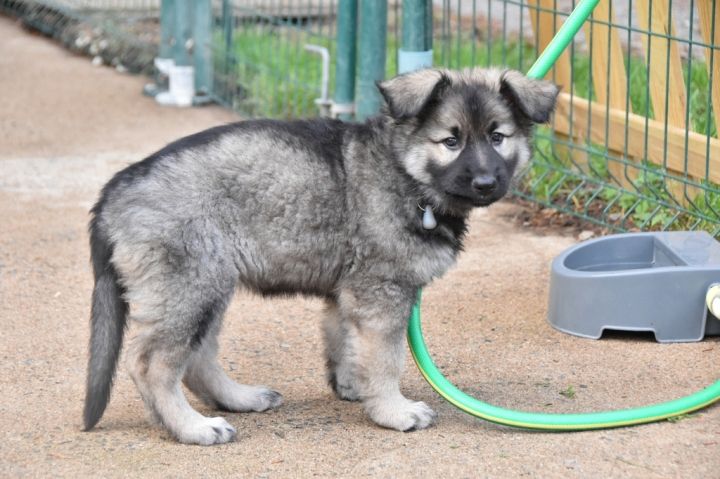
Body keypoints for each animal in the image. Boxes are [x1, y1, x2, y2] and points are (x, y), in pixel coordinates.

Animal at [83, 67, 558, 445]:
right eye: (450, 141)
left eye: (497, 137)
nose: (485, 183)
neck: (402, 169)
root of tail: (114, 192)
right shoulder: (381, 293)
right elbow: (386, 359)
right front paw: (393, 410)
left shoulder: (349, 292)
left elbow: (346, 342)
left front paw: (354, 388)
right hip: (189, 286)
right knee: (153, 365)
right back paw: (192, 427)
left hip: (207, 286)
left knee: (197, 358)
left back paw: (238, 398)